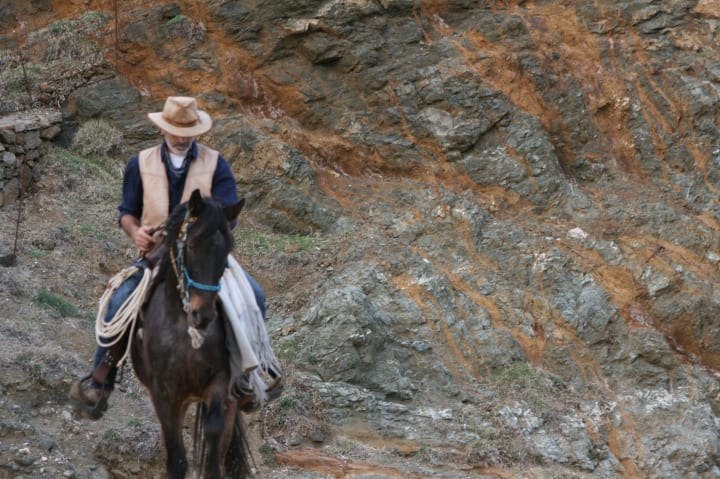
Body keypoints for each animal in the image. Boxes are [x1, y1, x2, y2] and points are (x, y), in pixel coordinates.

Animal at [130, 189, 251, 479]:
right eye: (192, 246)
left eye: (226, 252)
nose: (203, 315)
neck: (183, 335)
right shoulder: (164, 394)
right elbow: (176, 458)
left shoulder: (219, 382)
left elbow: (214, 434)